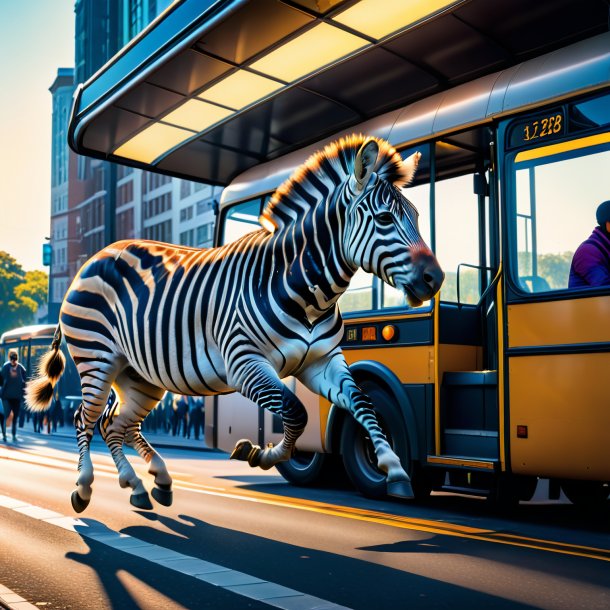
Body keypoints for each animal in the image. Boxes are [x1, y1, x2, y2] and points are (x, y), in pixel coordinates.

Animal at [26, 135, 442, 510]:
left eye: (417, 217)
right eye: (385, 218)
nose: (434, 279)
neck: (304, 291)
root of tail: (94, 258)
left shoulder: (322, 362)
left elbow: (361, 403)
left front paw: (393, 468)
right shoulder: (244, 364)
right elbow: (297, 411)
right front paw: (260, 453)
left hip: (140, 374)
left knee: (116, 424)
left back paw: (148, 483)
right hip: (97, 359)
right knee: (85, 418)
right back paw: (85, 487)